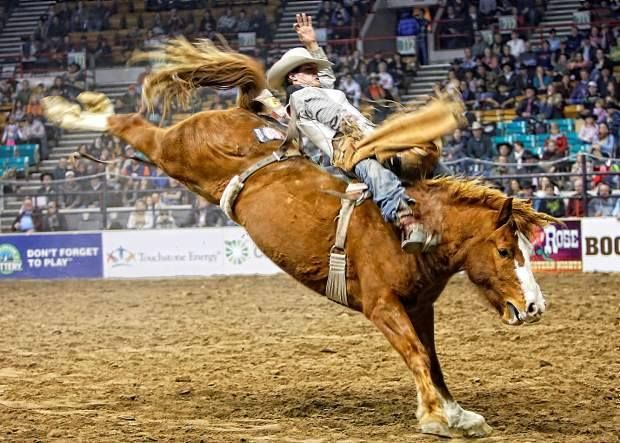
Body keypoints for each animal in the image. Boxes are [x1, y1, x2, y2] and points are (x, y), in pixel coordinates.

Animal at [43, 37, 556, 438]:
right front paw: (437, 417)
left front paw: (456, 412)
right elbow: (414, 353)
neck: (416, 229)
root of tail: (242, 112)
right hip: (175, 152)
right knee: (131, 127)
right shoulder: (382, 306)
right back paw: (68, 110)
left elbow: (431, 358)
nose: (534, 307)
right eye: (505, 250)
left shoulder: (419, 307)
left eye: (529, 249)